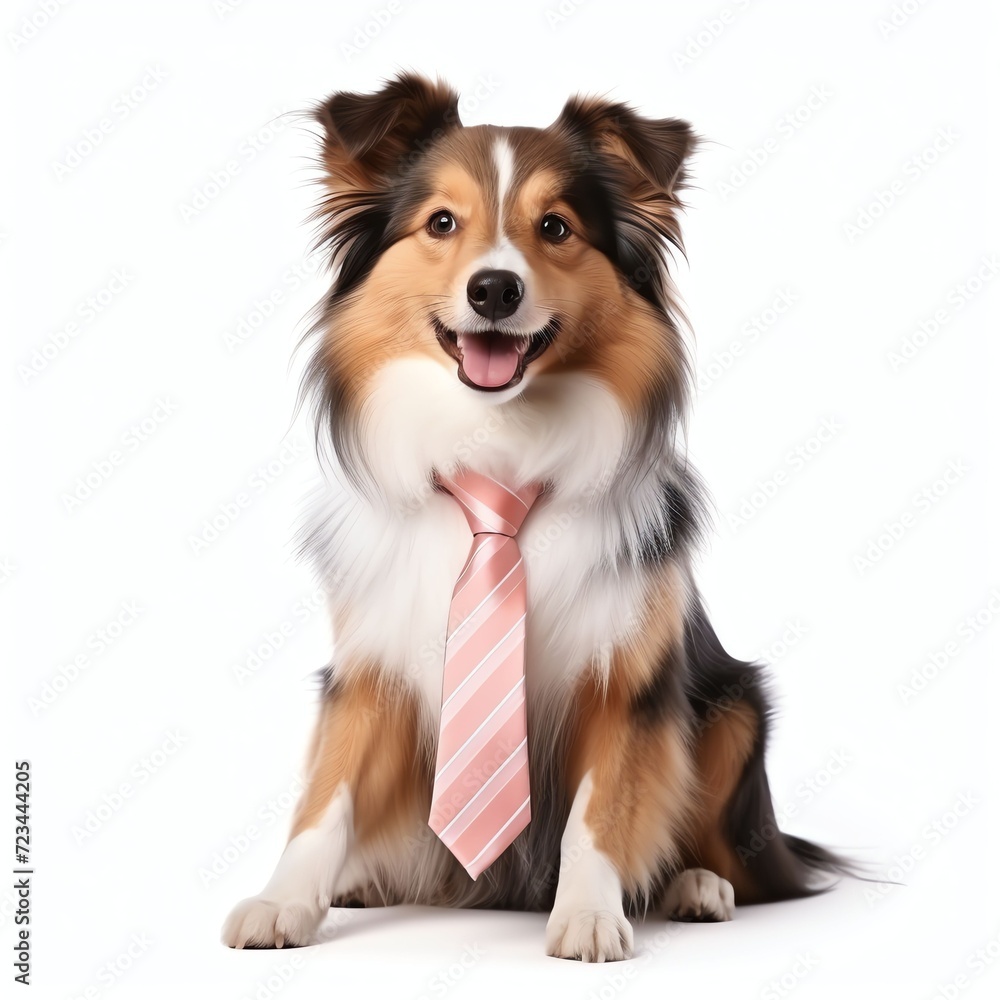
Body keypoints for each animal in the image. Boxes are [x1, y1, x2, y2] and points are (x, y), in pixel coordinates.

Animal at [223, 72, 848, 960]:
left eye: (555, 227)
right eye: (441, 222)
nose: (495, 288)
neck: (501, 455)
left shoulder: (626, 680)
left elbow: (602, 812)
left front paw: (588, 913)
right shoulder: (373, 668)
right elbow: (327, 795)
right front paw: (284, 901)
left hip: (732, 711)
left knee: (742, 865)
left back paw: (698, 887)